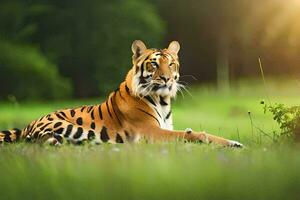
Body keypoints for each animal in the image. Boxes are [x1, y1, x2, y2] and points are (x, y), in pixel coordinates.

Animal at [0, 40, 244, 147]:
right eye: (154, 64)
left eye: (171, 64)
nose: (166, 79)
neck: (162, 100)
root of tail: (29, 124)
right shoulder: (150, 132)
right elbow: (195, 134)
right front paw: (231, 143)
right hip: (66, 126)